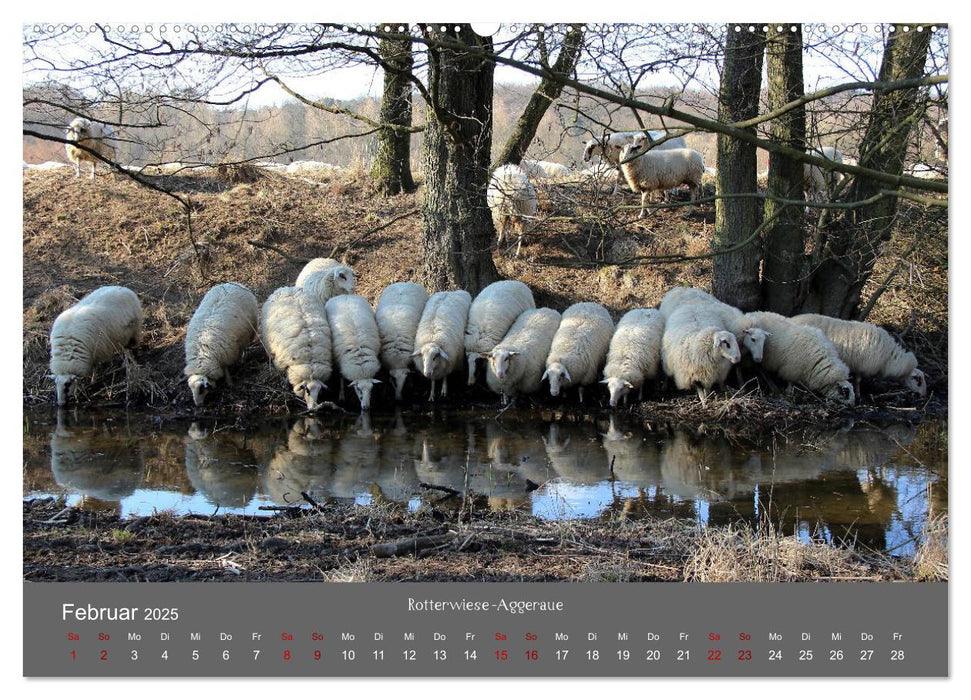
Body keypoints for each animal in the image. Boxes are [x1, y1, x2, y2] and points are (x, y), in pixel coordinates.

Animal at [788, 314, 928, 396]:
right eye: (918, 380)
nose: (924, 395)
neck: (889, 357)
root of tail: (791, 319)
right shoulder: (862, 367)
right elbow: (858, 381)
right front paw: (860, 394)